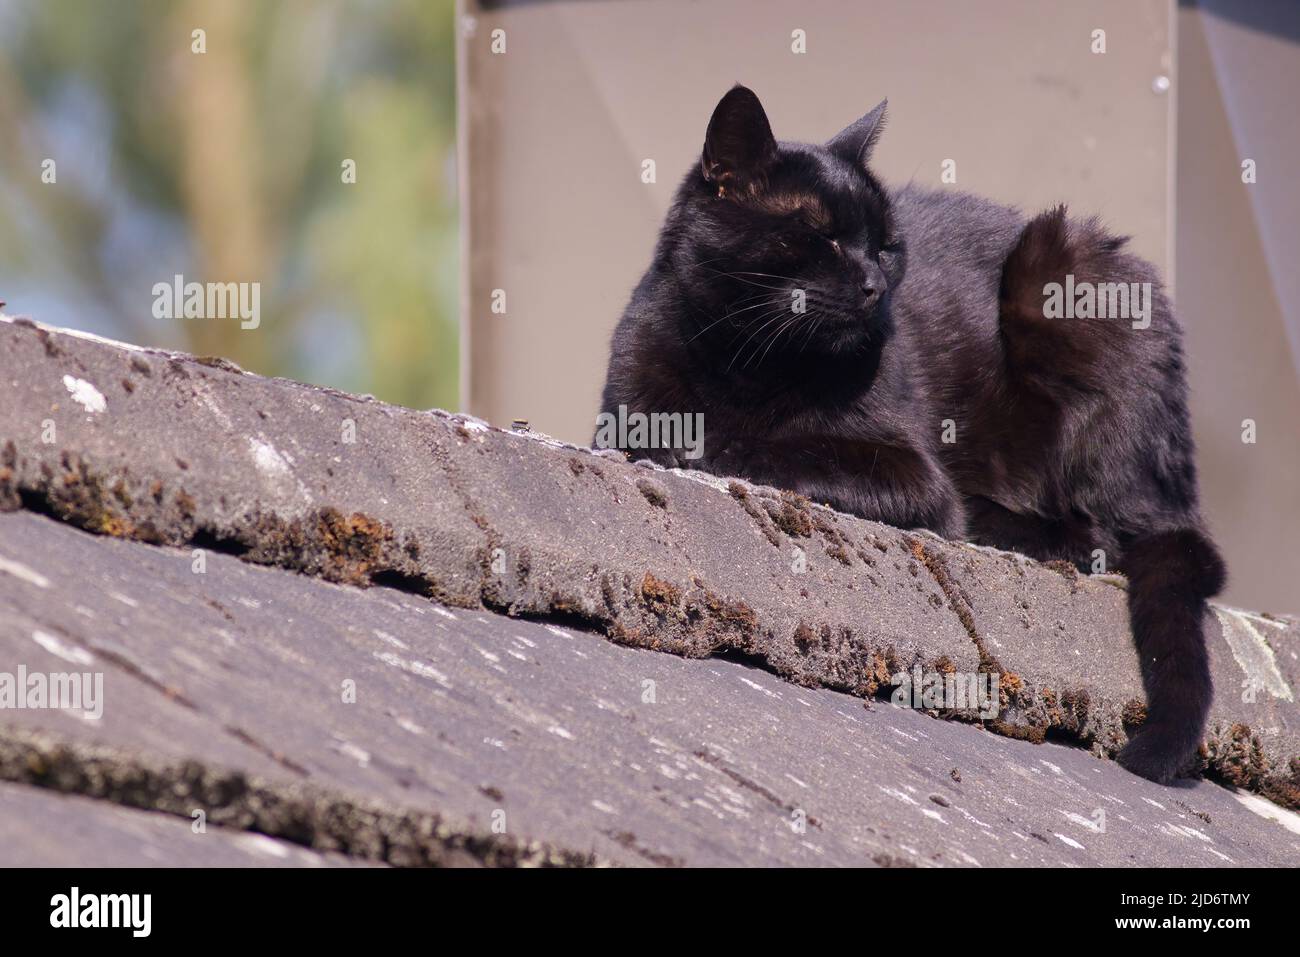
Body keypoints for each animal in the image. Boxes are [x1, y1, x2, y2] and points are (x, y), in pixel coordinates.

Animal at [598, 83, 1227, 785]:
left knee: (1104, 534)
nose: (875, 285)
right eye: (821, 236)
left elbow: (781, 448)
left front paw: (713, 447)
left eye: (884, 245)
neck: (750, 364)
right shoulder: (625, 409)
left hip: (1065, 278)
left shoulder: (911, 472)